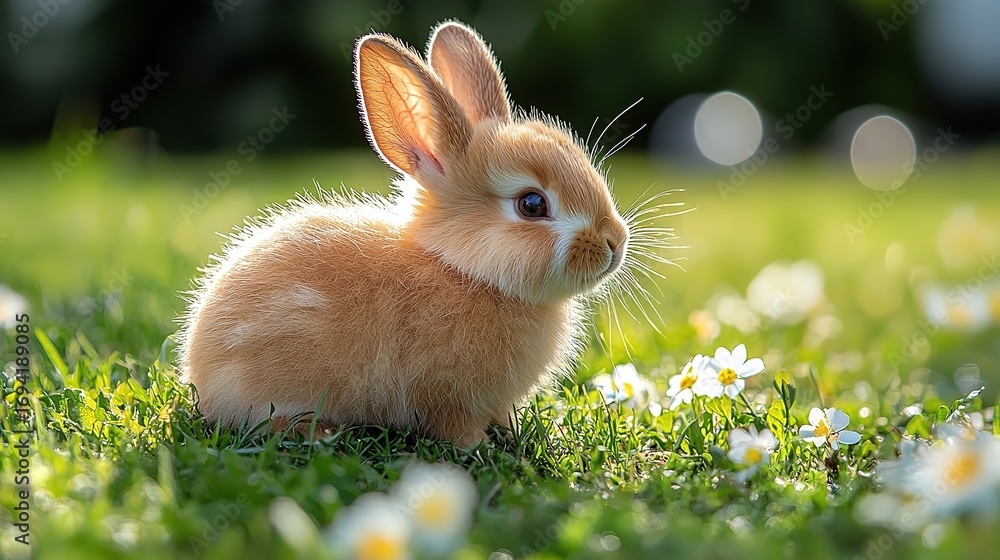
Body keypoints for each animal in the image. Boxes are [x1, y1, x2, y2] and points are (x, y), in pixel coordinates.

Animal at [176, 21, 630, 447]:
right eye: (532, 204)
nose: (614, 242)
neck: (467, 273)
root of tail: (200, 369)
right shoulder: (446, 395)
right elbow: (455, 427)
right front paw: (480, 446)